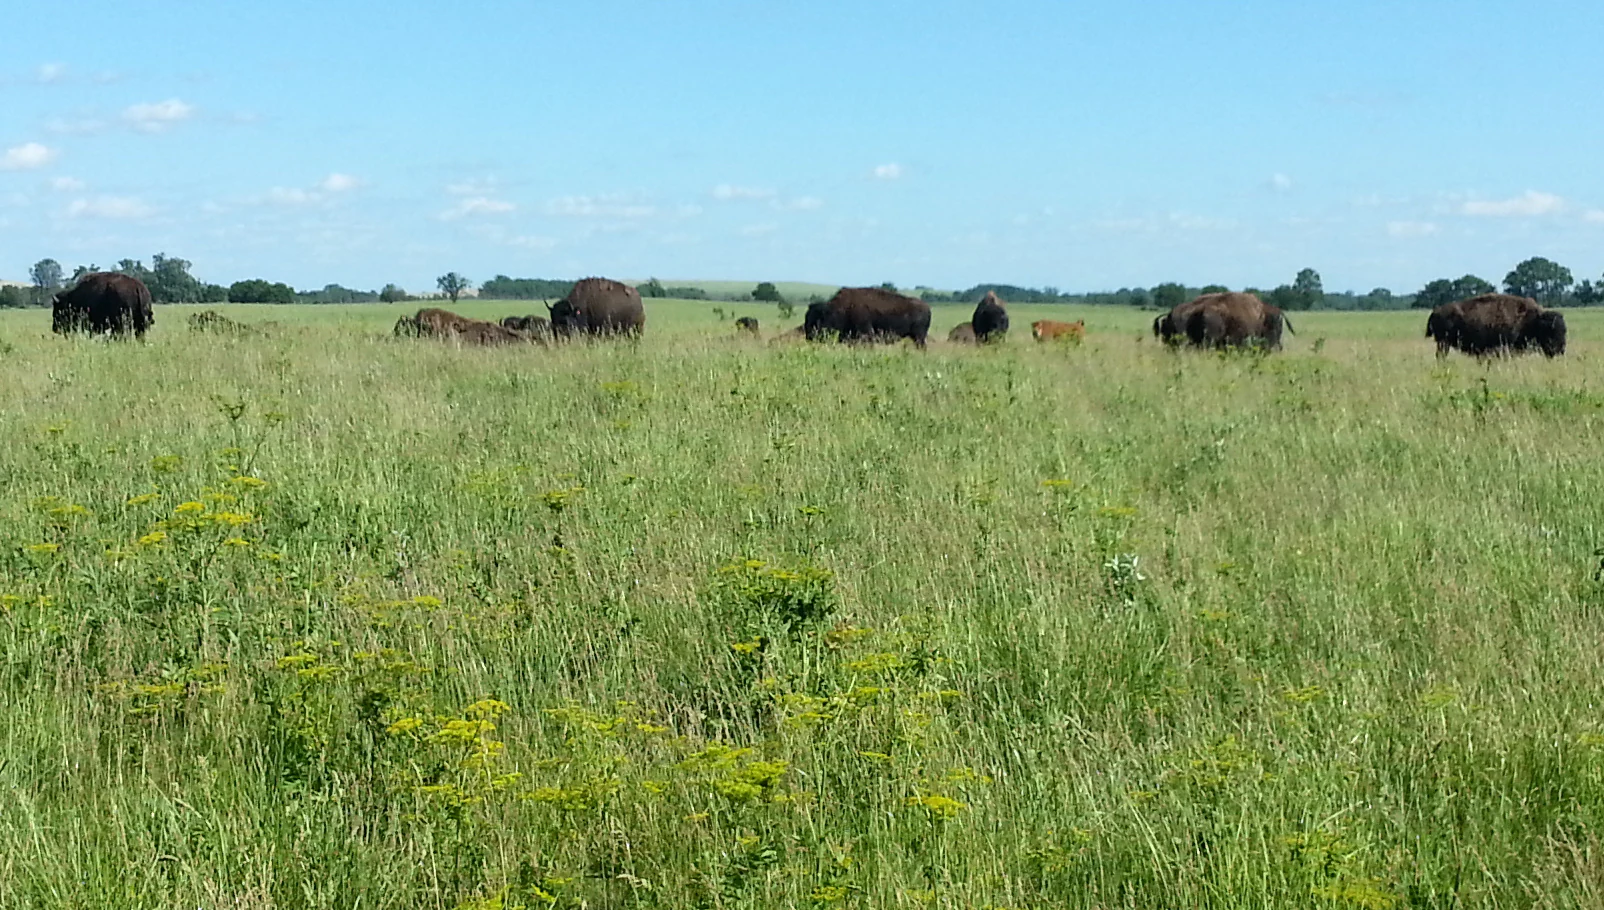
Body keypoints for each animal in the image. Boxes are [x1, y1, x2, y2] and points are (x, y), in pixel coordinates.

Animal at [1426, 293, 1565, 358]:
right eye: (1552, 331)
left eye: (1564, 331)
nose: (1561, 350)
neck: (1532, 320)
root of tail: (1436, 311)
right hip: (1443, 343)